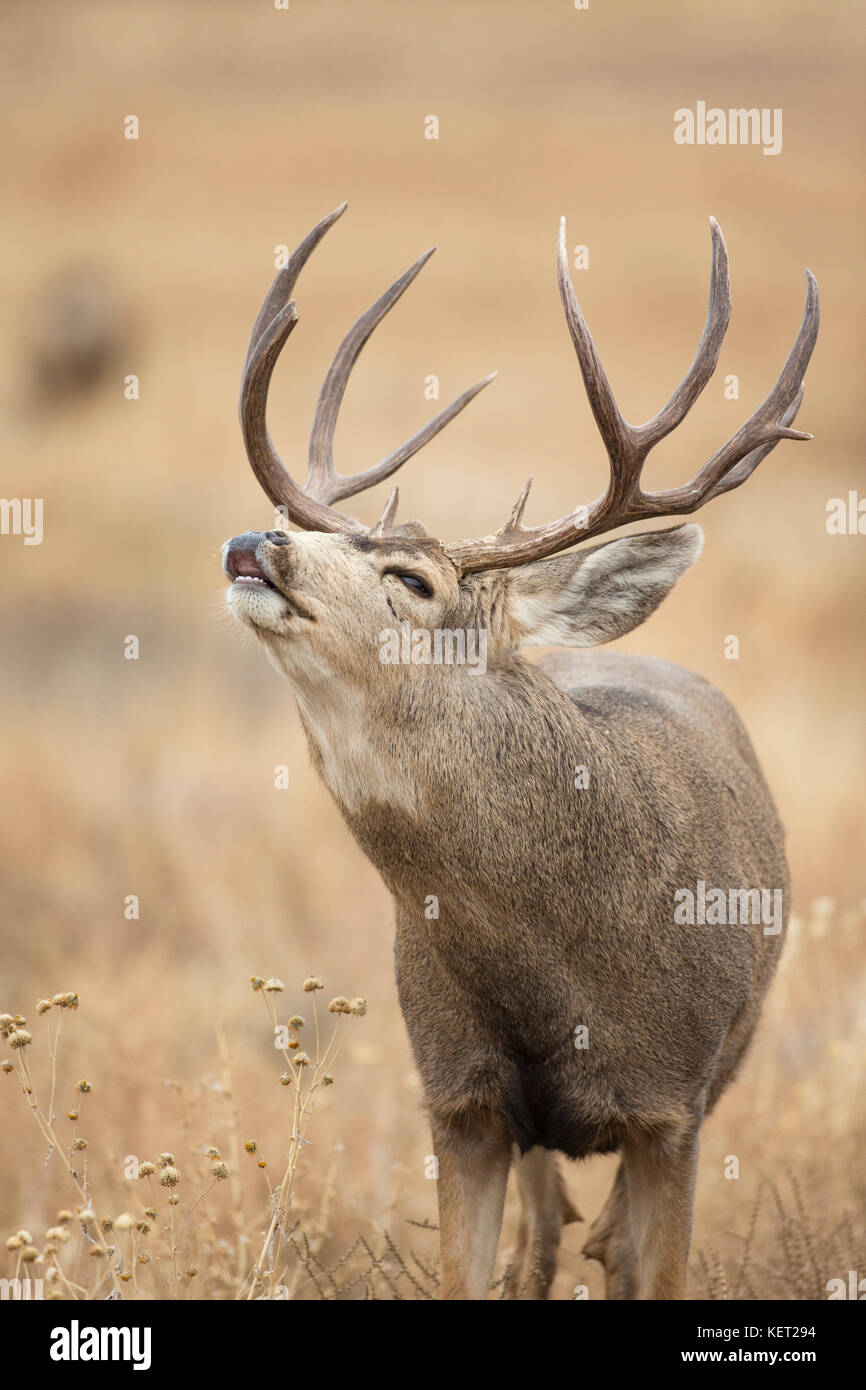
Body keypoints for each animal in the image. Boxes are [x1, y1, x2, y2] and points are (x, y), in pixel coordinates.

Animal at [222, 204, 818, 1300]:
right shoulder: (458, 1096)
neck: (557, 973)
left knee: (603, 1241)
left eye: (414, 578)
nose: (258, 541)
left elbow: (653, 1267)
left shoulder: (673, 1104)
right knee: (544, 1239)